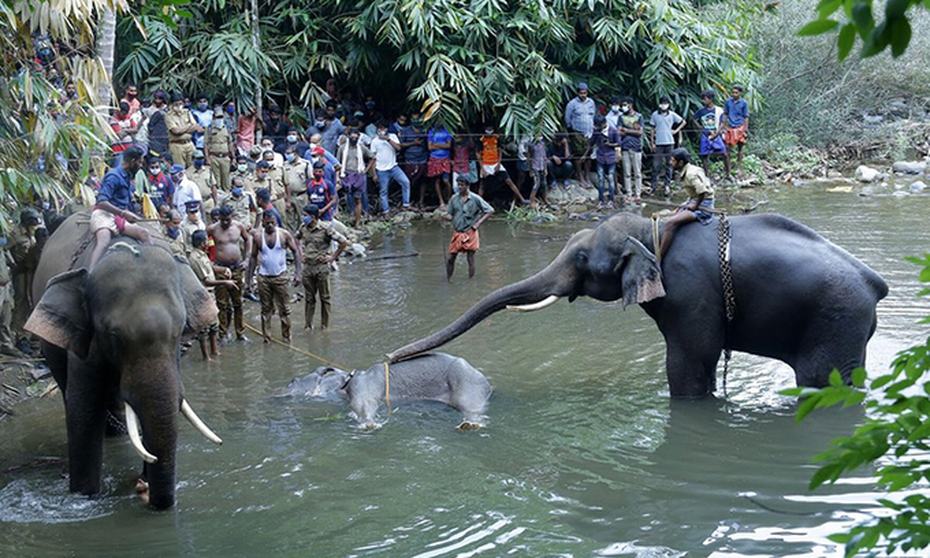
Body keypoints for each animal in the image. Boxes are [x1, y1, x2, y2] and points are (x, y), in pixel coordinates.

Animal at [25, 214, 223, 512]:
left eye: (179, 330)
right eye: (113, 336)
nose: (145, 489)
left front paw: (143, 483)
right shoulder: (87, 341)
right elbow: (83, 410)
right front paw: (85, 497)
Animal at [278, 354, 490, 434]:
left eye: (292, 381)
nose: (277, 394)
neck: (343, 382)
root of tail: (488, 385)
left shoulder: (363, 387)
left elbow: (364, 404)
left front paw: (369, 424)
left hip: (466, 384)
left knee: (471, 406)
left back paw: (469, 425)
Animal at [388, 212, 888, 400]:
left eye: (582, 258)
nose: (391, 357)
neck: (656, 228)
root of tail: (875, 284)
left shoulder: (691, 292)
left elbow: (689, 360)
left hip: (835, 318)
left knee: (824, 381)